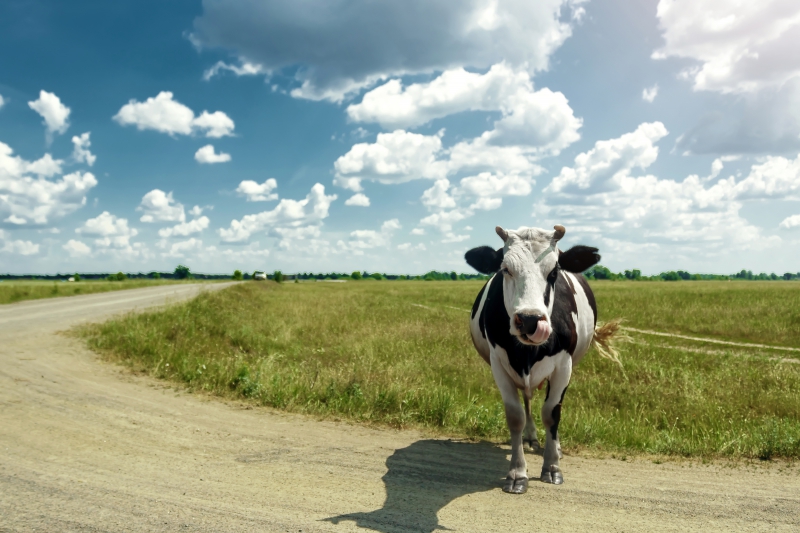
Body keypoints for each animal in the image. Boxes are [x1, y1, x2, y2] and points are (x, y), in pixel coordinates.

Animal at [466, 224, 620, 494]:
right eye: (505, 269)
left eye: (554, 271)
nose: (529, 320)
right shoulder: (499, 364)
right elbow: (515, 415)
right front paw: (517, 473)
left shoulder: (564, 366)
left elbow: (551, 413)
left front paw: (552, 466)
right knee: (527, 401)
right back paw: (530, 437)